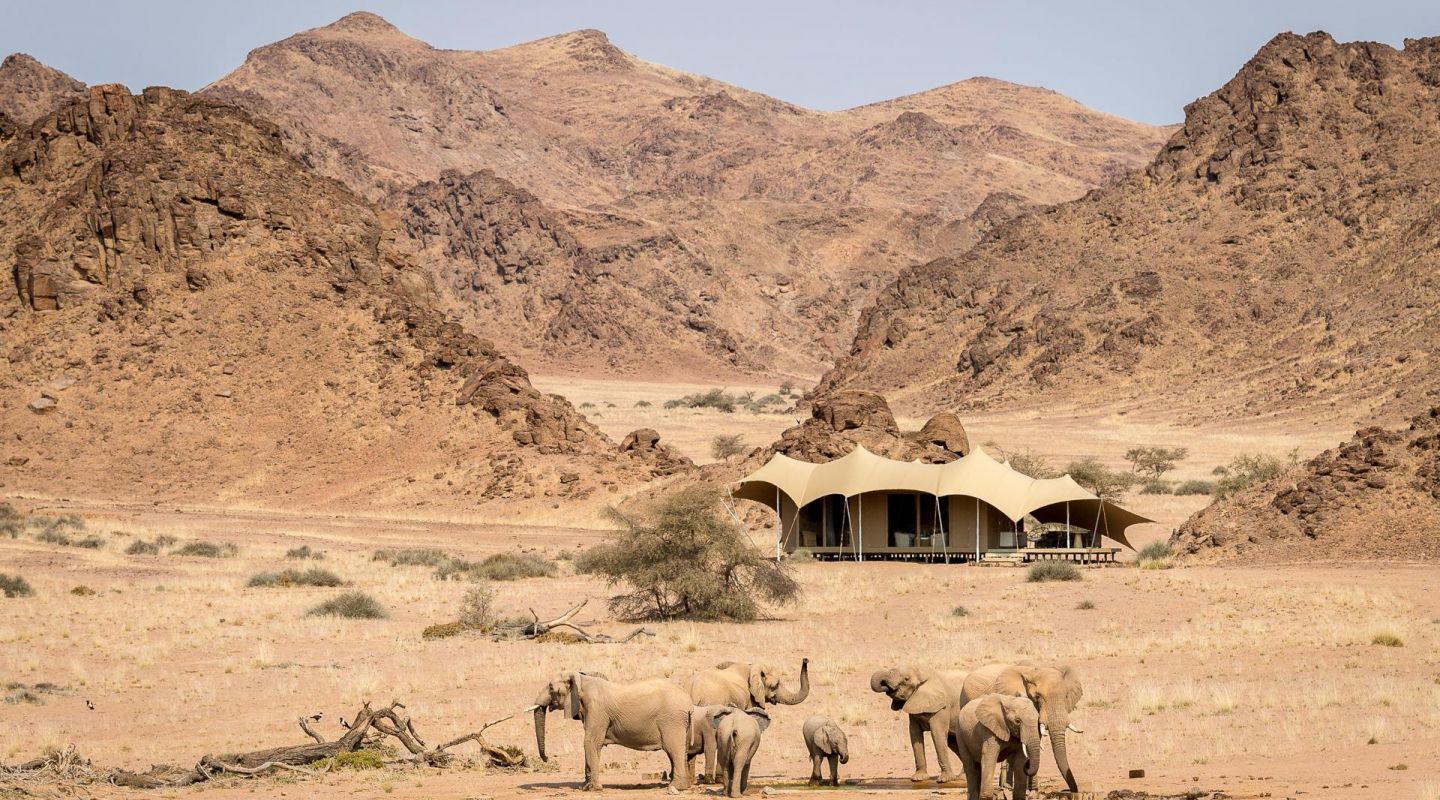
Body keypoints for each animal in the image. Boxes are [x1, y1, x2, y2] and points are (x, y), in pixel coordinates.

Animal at [535, 670, 691, 788]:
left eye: (550, 687)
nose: (547, 758)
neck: (582, 679)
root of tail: (687, 700)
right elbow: (591, 743)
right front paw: (584, 786)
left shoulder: (597, 710)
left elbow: (590, 742)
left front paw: (593, 788)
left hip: (672, 720)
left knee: (673, 749)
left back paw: (676, 787)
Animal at [961, 661, 1082, 794]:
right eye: (1038, 696)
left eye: (1066, 696)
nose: (1072, 790)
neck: (1033, 671)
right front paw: (1030, 789)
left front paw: (1033, 790)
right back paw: (1006, 786)